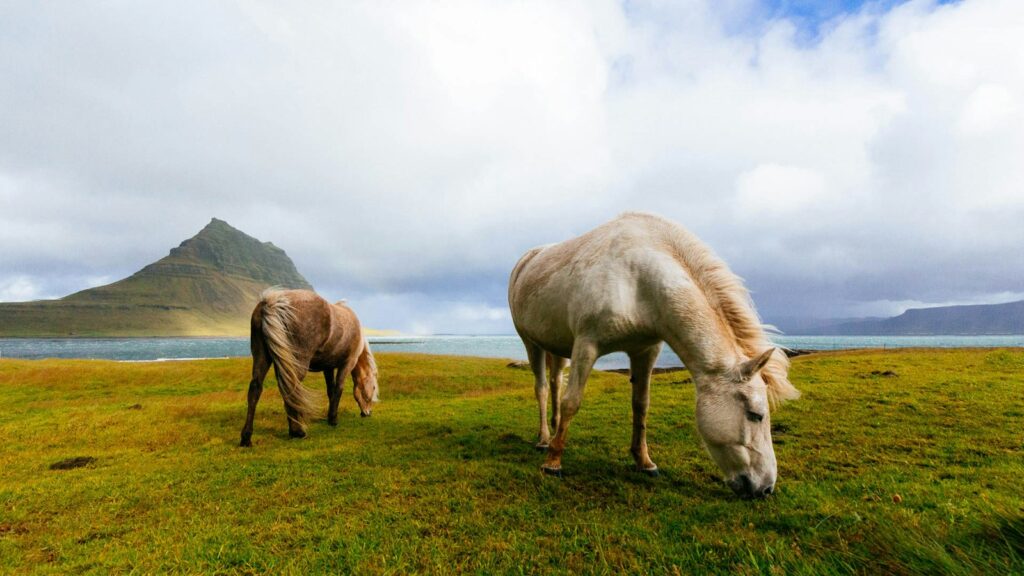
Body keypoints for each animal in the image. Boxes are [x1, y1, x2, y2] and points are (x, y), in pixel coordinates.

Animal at [239, 289, 379, 447]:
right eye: (373, 387)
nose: (367, 412)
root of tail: (273, 302)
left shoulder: (328, 367)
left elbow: (331, 391)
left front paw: (329, 417)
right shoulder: (347, 363)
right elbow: (338, 389)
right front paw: (333, 419)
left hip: (262, 357)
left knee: (256, 389)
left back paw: (246, 438)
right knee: (291, 389)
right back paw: (297, 431)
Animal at [508, 212, 799, 498]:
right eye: (755, 415)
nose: (766, 488)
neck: (638, 279)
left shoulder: (645, 351)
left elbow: (641, 405)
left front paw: (644, 461)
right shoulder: (586, 346)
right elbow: (572, 402)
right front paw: (553, 463)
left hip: (558, 348)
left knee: (556, 382)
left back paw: (555, 429)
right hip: (531, 342)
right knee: (543, 388)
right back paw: (545, 440)